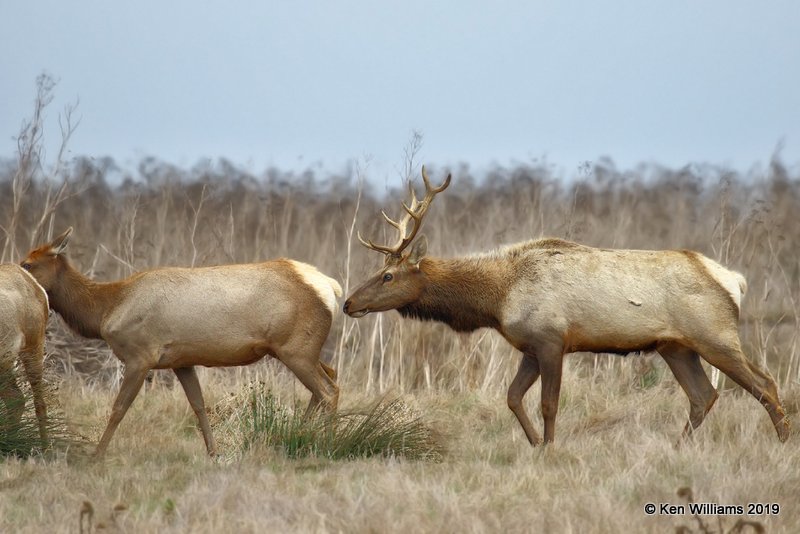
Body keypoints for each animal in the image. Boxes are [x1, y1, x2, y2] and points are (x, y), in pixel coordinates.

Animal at [21, 228, 340, 458]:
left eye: (28, 263)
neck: (106, 310)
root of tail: (331, 288)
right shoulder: (181, 361)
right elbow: (198, 405)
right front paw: (213, 452)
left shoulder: (140, 356)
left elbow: (119, 408)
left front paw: (96, 455)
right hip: (295, 349)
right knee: (330, 378)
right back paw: (302, 433)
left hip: (296, 348)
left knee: (328, 391)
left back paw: (329, 444)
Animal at [344, 168, 788, 448]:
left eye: (388, 276)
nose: (348, 303)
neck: (498, 298)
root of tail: (735, 281)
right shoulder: (529, 347)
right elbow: (512, 397)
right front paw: (536, 444)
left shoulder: (551, 340)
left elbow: (548, 404)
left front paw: (550, 448)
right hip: (675, 347)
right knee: (703, 396)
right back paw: (679, 447)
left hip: (714, 334)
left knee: (764, 383)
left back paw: (784, 443)